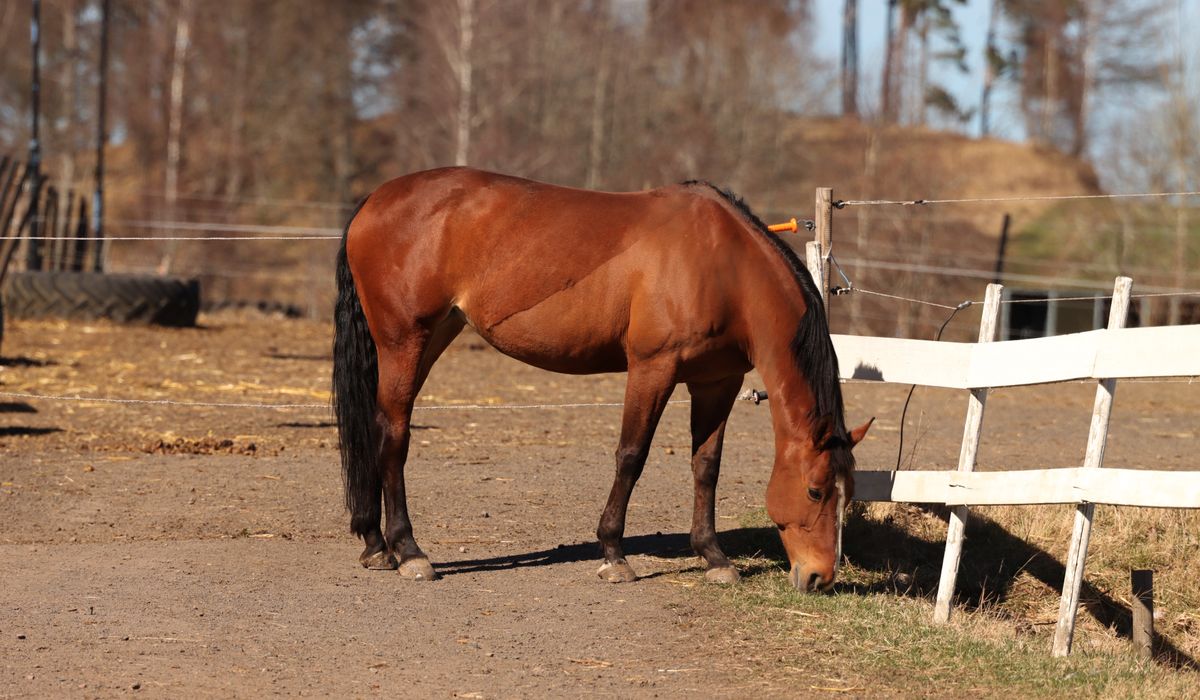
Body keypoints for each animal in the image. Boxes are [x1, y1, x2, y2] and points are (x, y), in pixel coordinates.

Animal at [332, 167, 872, 591]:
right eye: (816, 491)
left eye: (848, 491)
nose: (820, 576)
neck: (723, 264)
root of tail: (374, 201)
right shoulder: (652, 368)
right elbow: (631, 456)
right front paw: (614, 553)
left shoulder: (716, 383)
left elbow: (706, 467)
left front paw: (713, 557)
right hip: (404, 341)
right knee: (393, 435)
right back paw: (408, 550)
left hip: (433, 335)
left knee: (376, 429)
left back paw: (376, 545)